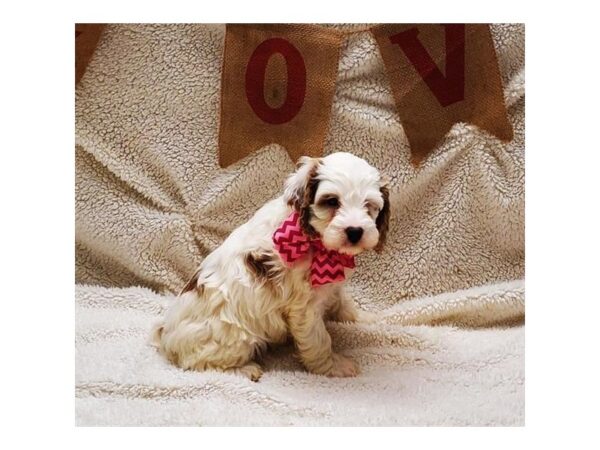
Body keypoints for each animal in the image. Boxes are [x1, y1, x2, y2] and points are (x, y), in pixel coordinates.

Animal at [152, 151, 392, 380]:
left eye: (369, 205)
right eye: (332, 201)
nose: (355, 231)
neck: (313, 240)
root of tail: (165, 335)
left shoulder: (330, 287)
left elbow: (342, 302)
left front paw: (363, 317)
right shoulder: (304, 308)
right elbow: (318, 340)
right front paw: (334, 367)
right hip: (233, 338)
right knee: (198, 363)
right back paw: (246, 370)